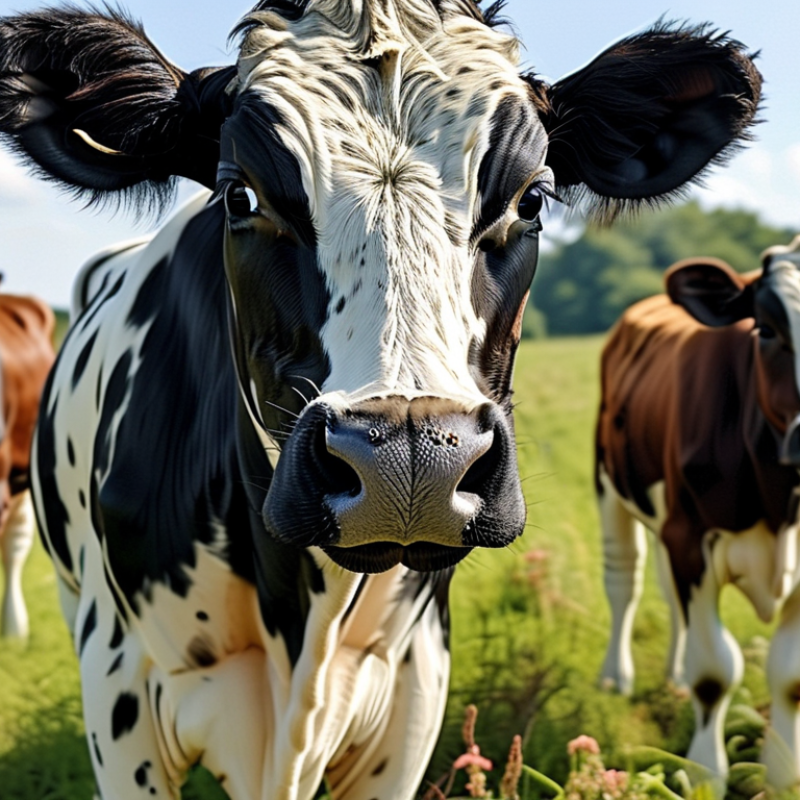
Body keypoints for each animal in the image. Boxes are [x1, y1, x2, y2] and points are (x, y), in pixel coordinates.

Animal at [597, 236, 800, 789]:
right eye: (767, 329)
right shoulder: (691, 539)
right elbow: (714, 672)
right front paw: (704, 772)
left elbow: (789, 675)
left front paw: (784, 775)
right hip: (611, 488)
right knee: (624, 583)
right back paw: (614, 677)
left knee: (668, 598)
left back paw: (672, 676)